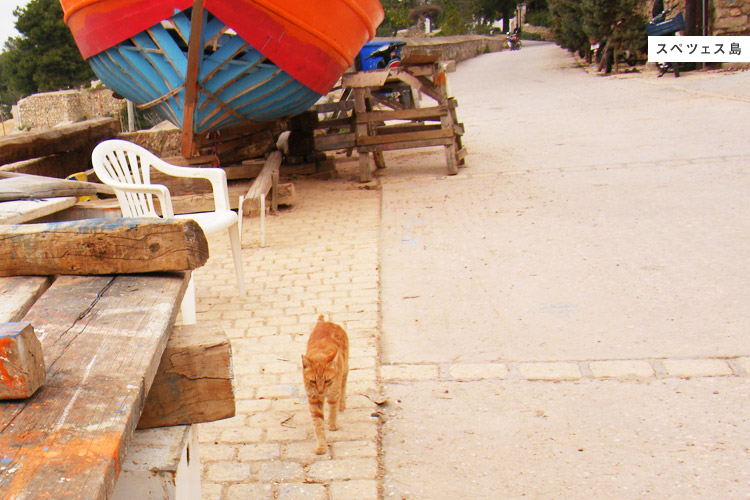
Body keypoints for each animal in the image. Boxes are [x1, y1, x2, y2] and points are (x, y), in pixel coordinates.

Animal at [302, 314, 349, 455]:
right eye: (313, 381)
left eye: (327, 381)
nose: (321, 391)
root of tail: (325, 322)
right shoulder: (314, 400)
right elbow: (318, 425)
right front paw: (322, 446)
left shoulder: (333, 394)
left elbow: (332, 410)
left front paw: (332, 424)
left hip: (345, 370)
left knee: (343, 386)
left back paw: (342, 405)